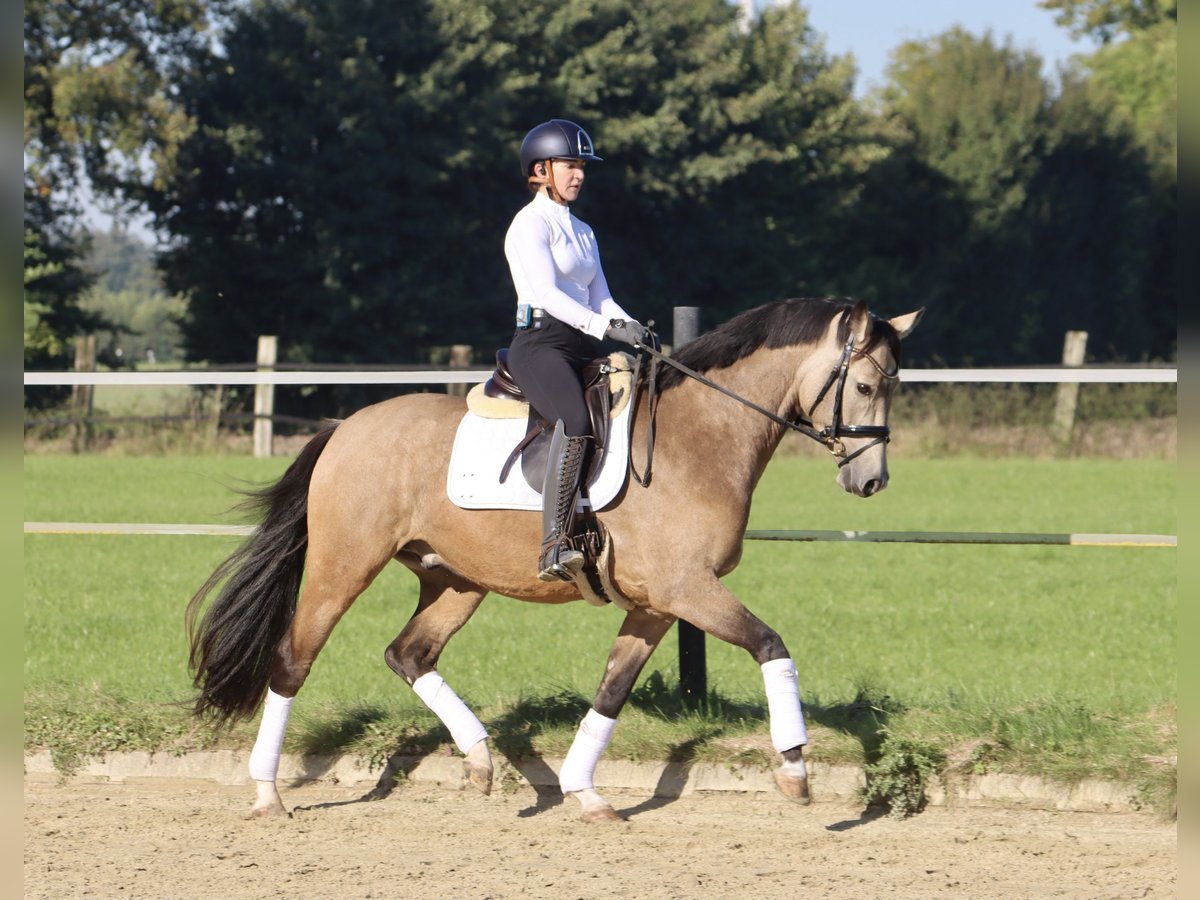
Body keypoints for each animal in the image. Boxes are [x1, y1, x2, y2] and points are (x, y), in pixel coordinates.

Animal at [187, 297, 921, 825]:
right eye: (863, 384)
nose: (872, 481)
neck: (700, 436)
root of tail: (346, 427)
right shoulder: (688, 590)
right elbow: (772, 646)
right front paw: (795, 770)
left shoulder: (657, 605)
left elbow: (611, 692)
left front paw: (584, 793)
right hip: (344, 566)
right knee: (294, 660)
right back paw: (266, 795)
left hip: (456, 581)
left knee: (409, 654)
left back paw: (481, 761)